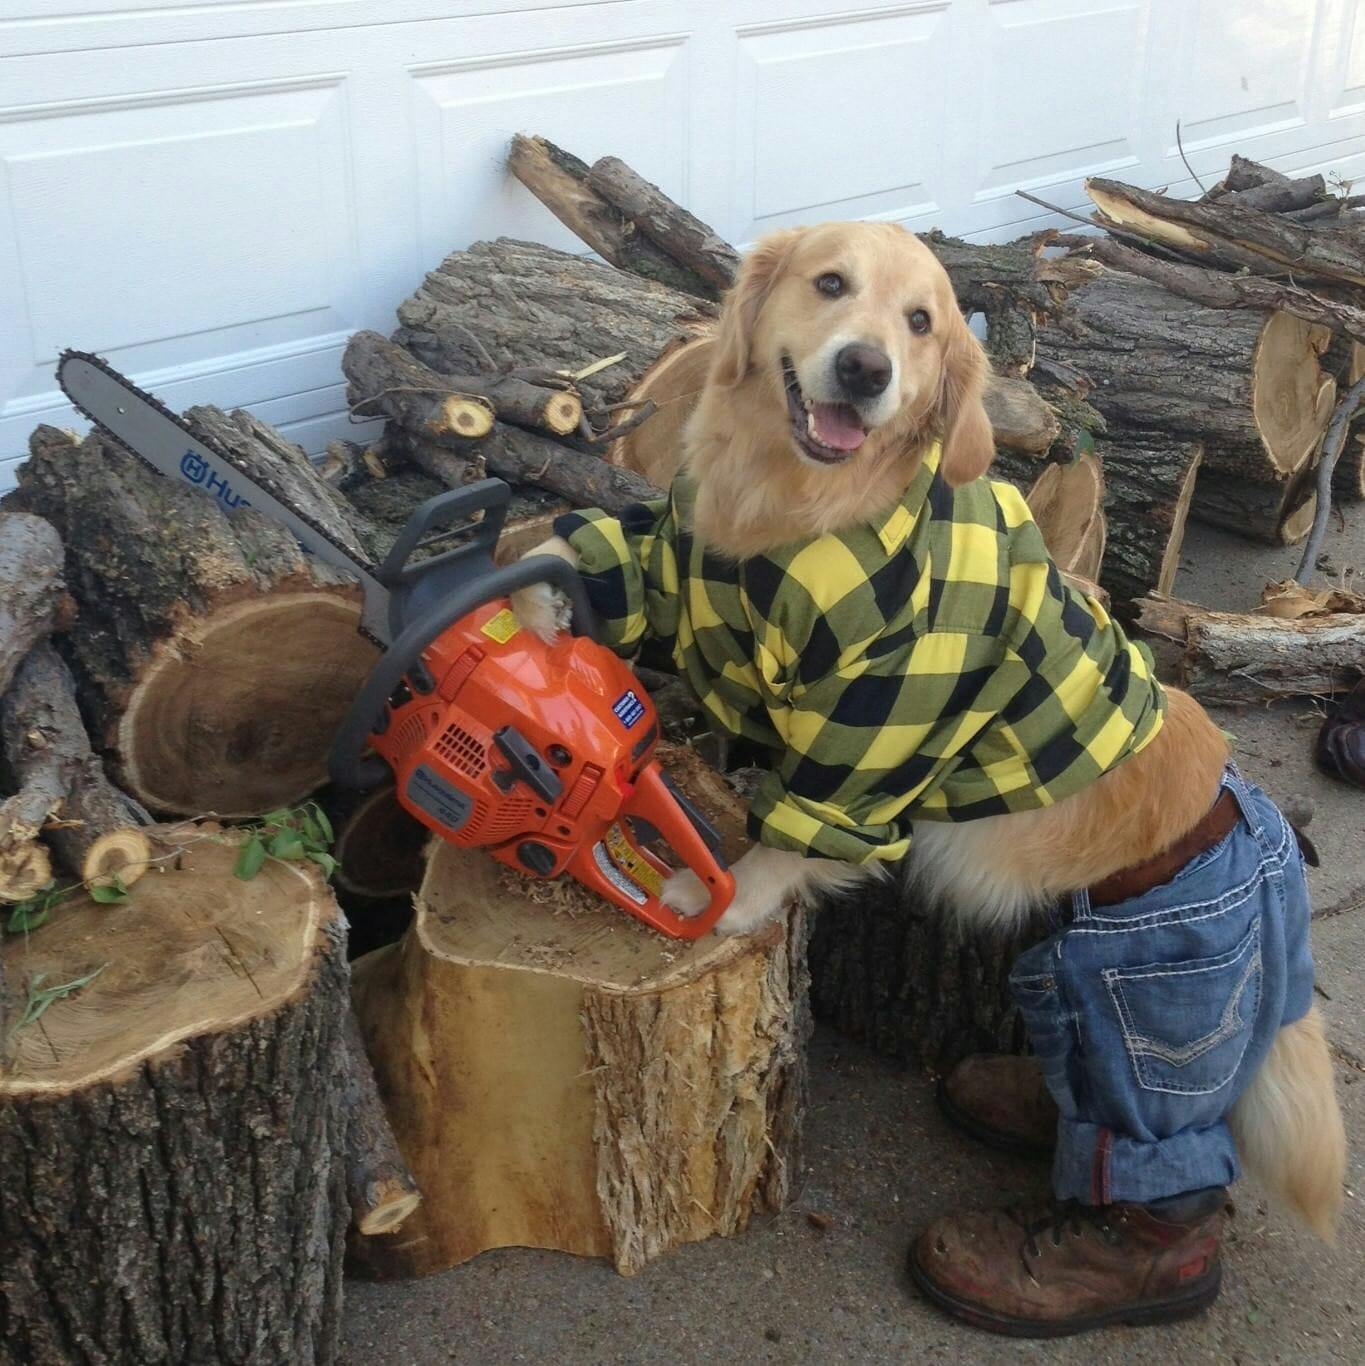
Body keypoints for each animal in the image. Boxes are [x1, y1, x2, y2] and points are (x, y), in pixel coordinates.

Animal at [513, 221, 1344, 1256]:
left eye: (921, 323)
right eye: (830, 284)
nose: (864, 369)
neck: (792, 514)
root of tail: (1255, 831)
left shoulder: (886, 706)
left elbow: (808, 824)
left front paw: (726, 896)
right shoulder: (690, 568)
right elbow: (616, 560)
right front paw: (526, 585)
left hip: (1157, 981)